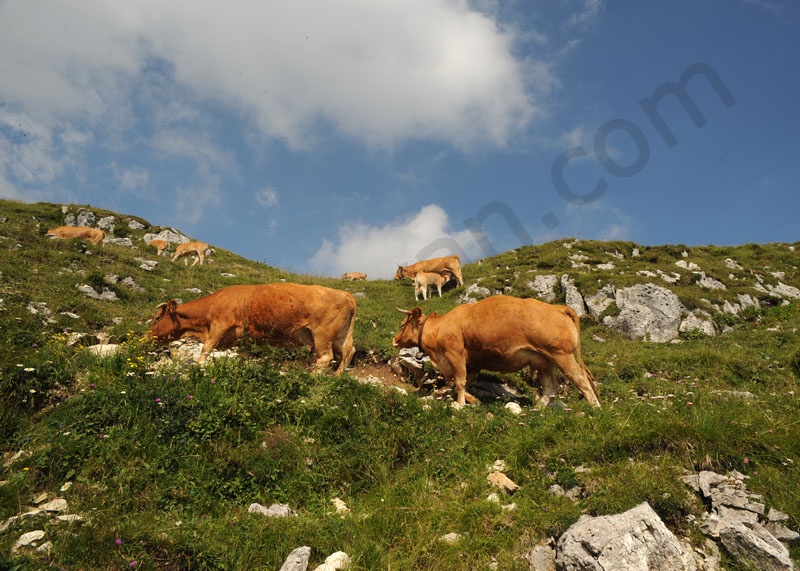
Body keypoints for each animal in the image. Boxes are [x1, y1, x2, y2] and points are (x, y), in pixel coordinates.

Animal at [146, 284, 356, 374]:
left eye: (156, 318)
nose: (146, 336)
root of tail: (344, 293)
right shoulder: (245, 339)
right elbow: (244, 357)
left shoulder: (220, 324)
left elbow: (205, 349)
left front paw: (197, 367)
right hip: (340, 336)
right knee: (348, 352)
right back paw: (337, 377)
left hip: (322, 335)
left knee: (325, 358)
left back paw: (313, 378)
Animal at [390, 294, 604, 412]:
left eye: (402, 325)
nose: (394, 340)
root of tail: (557, 307)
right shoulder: (473, 363)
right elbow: (459, 383)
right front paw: (471, 399)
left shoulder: (455, 354)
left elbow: (459, 382)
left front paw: (460, 404)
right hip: (545, 361)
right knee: (552, 386)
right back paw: (536, 409)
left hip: (562, 355)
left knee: (581, 380)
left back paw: (596, 408)